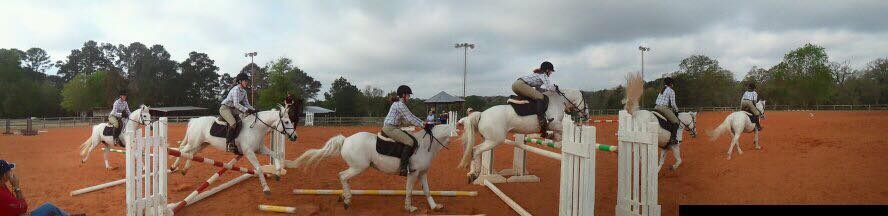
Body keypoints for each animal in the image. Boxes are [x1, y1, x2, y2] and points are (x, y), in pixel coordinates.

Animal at [170, 104, 298, 194]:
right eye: (286, 122)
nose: (295, 137)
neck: (256, 128)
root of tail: (194, 120)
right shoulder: (249, 152)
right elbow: (259, 168)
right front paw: (266, 188)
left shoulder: (260, 149)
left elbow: (275, 154)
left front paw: (278, 173)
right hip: (194, 142)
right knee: (182, 151)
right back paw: (173, 167)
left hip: (202, 144)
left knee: (191, 153)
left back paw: (185, 169)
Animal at [290, 124, 458, 212]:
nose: (453, 144)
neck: (424, 146)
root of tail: (346, 140)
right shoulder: (413, 174)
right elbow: (409, 191)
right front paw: (409, 208)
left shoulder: (423, 173)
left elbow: (427, 191)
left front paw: (435, 206)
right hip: (358, 167)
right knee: (342, 176)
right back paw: (347, 199)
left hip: (356, 167)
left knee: (342, 176)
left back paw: (344, 196)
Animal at [454, 88, 588, 182]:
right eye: (585, 102)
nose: (586, 116)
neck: (558, 101)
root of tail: (481, 114)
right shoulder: (554, 124)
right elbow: (564, 131)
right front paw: (560, 143)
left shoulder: (554, 126)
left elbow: (557, 135)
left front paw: (553, 139)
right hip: (494, 140)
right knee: (475, 150)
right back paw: (475, 174)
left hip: (490, 140)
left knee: (473, 150)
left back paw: (471, 174)